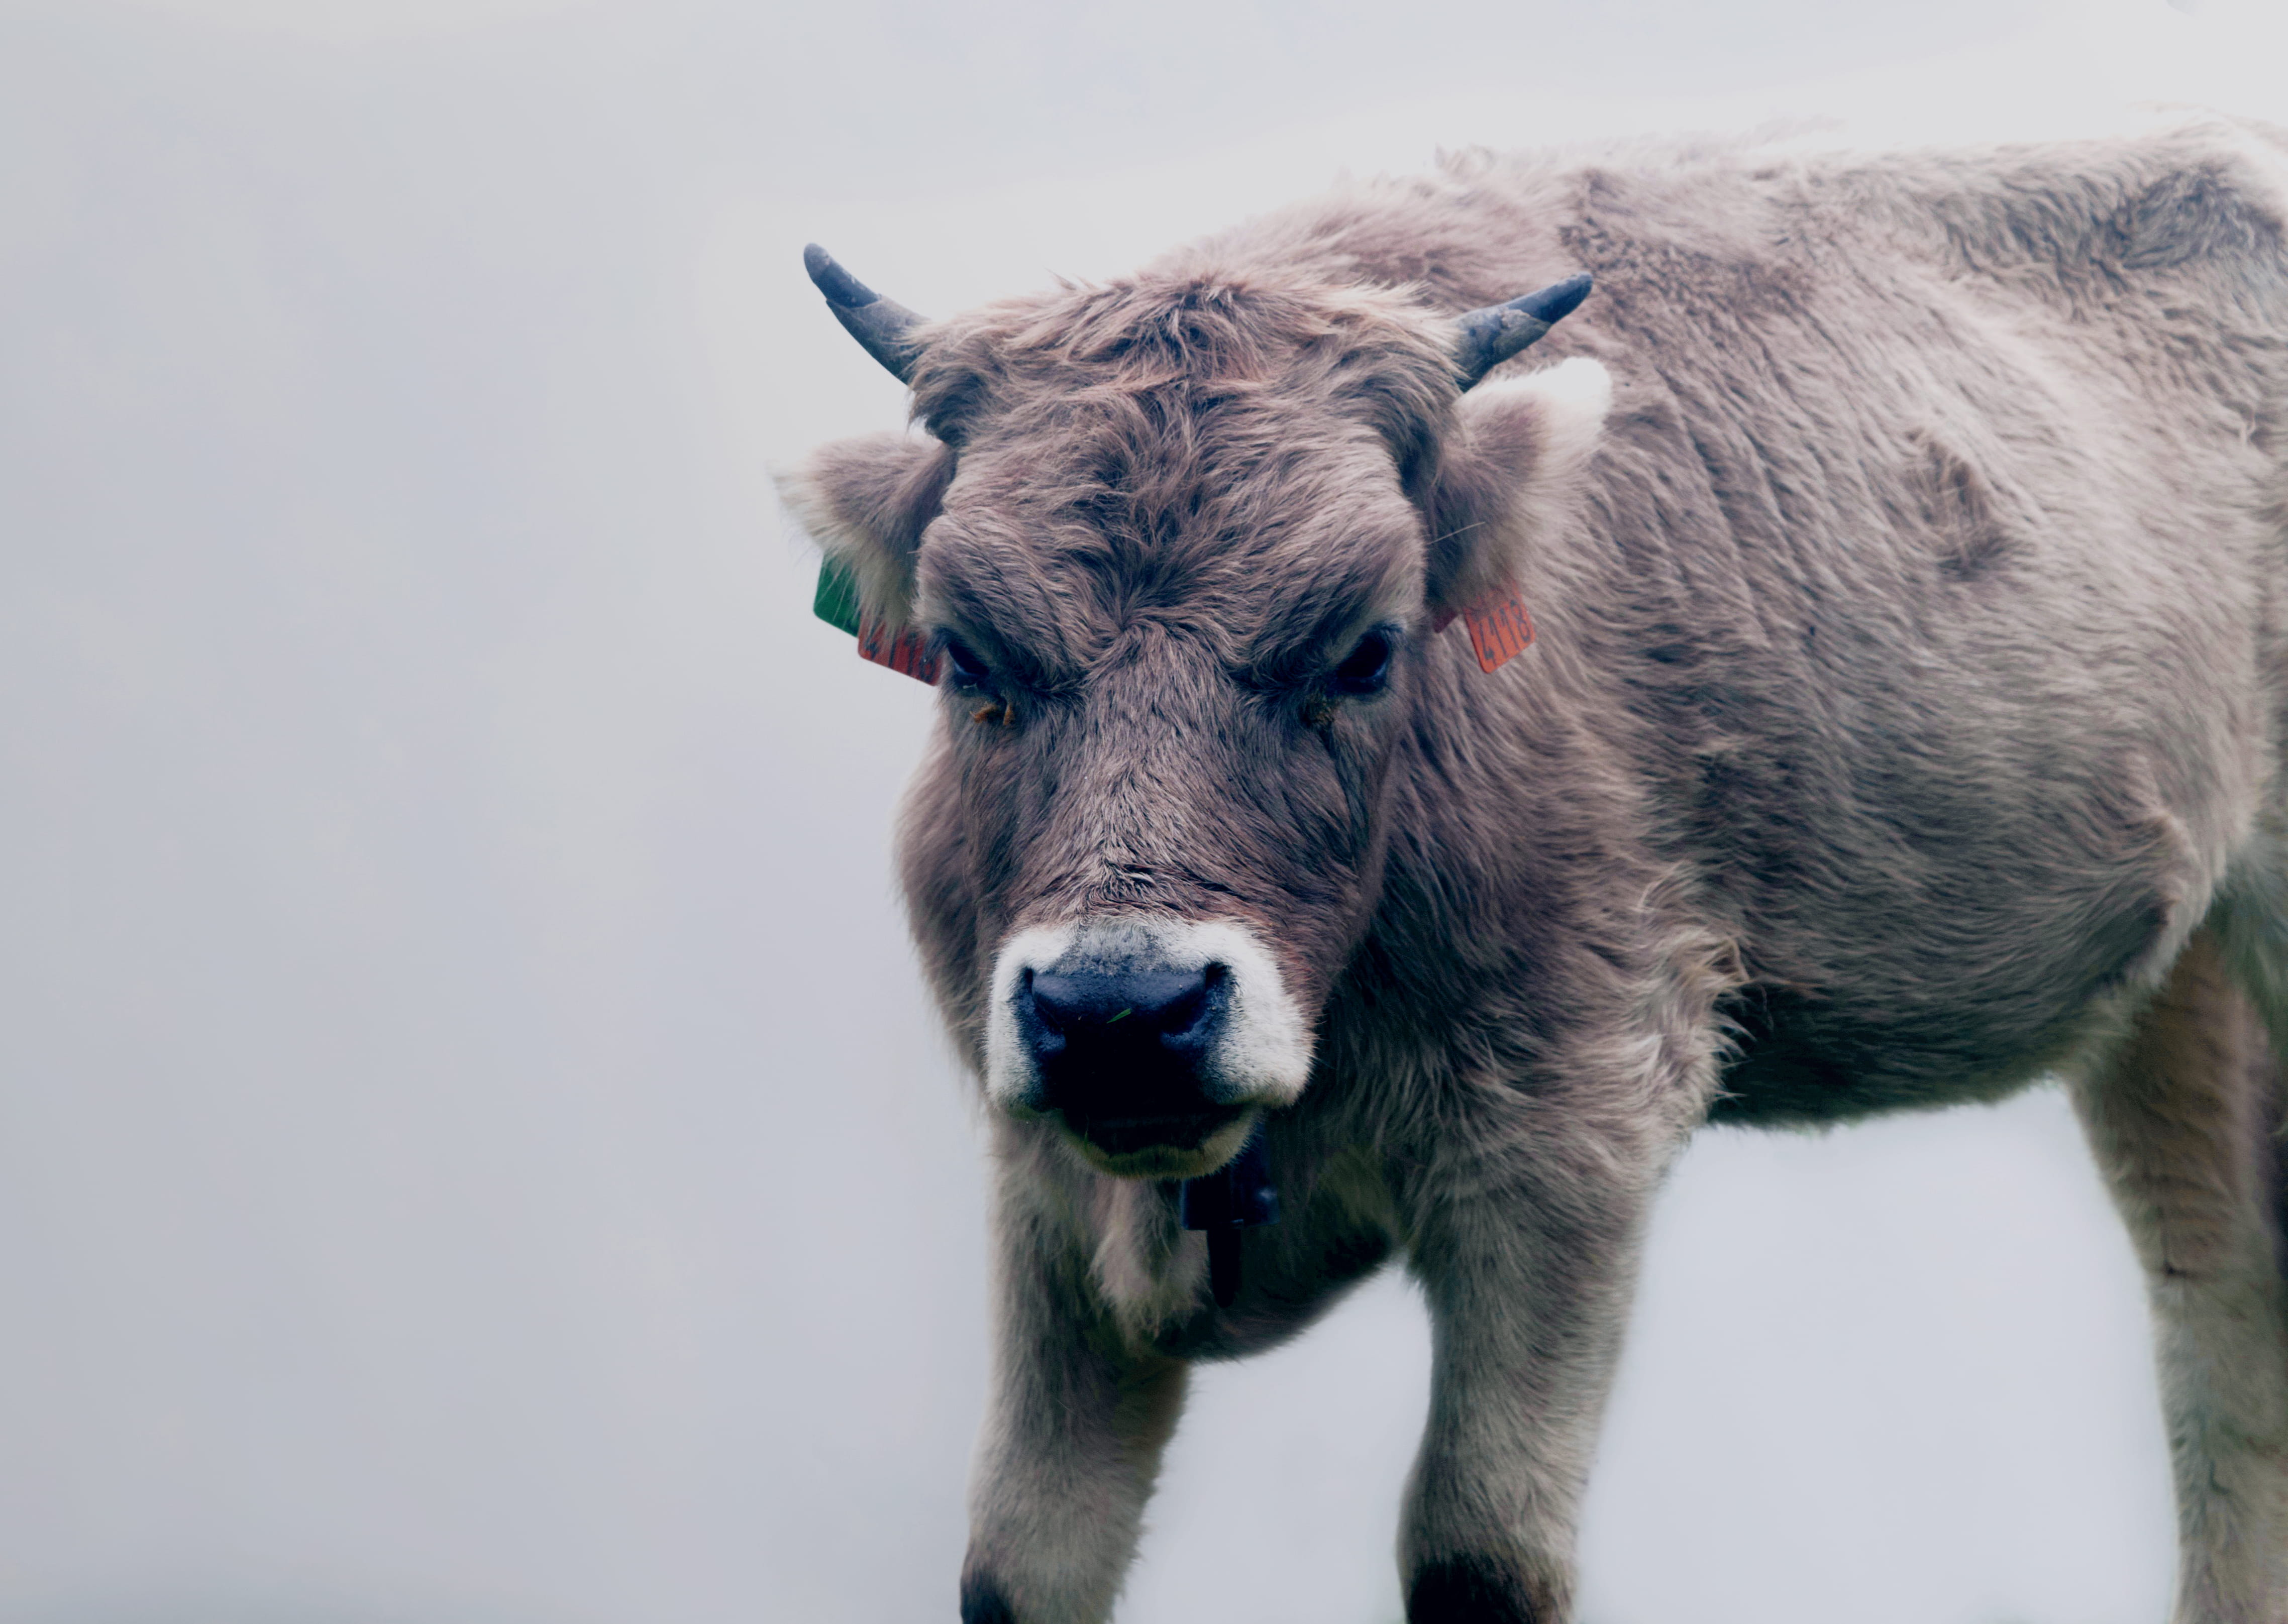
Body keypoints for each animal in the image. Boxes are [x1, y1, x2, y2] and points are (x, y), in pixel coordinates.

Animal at [782, 116, 2288, 1624]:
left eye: (1366, 647)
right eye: (966, 652)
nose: (1121, 1013)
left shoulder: (1569, 1135)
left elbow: (1479, 1552)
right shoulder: (1044, 1189)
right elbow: (1021, 1559)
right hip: (2176, 1003)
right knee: (2218, 1309)